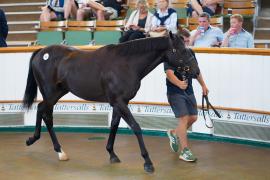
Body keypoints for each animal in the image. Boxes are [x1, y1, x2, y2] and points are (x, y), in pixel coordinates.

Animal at [23, 33, 199, 173]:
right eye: (182, 50)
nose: (196, 71)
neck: (126, 64)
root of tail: (41, 52)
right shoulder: (119, 102)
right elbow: (135, 127)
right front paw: (148, 162)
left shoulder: (119, 103)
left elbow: (114, 124)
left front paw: (112, 154)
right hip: (50, 94)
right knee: (45, 113)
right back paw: (52, 148)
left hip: (58, 93)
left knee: (42, 111)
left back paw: (47, 145)